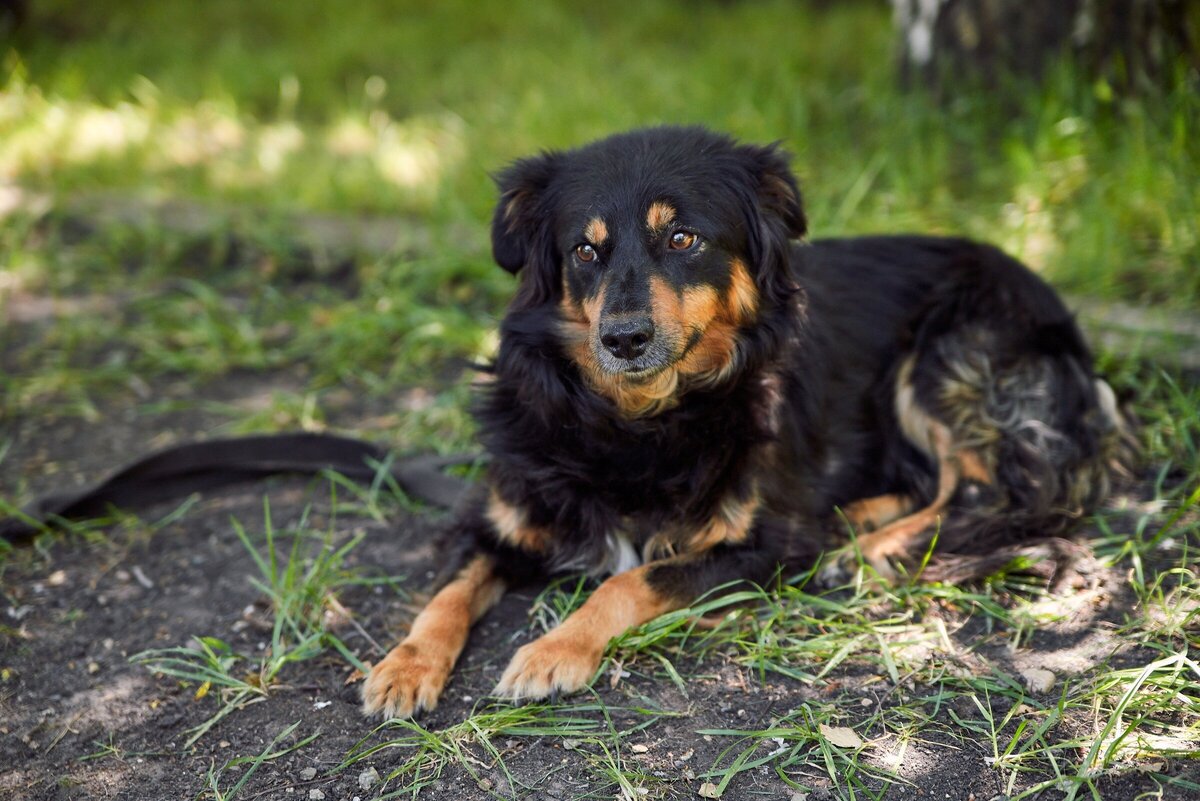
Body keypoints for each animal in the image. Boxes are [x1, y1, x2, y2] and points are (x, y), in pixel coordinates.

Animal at [360, 126, 1128, 719]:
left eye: (682, 237)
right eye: (585, 250)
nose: (623, 338)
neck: (634, 423)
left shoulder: (763, 547)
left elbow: (631, 579)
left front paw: (553, 650)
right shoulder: (502, 516)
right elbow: (447, 593)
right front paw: (404, 665)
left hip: (948, 350)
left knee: (981, 489)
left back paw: (866, 549)